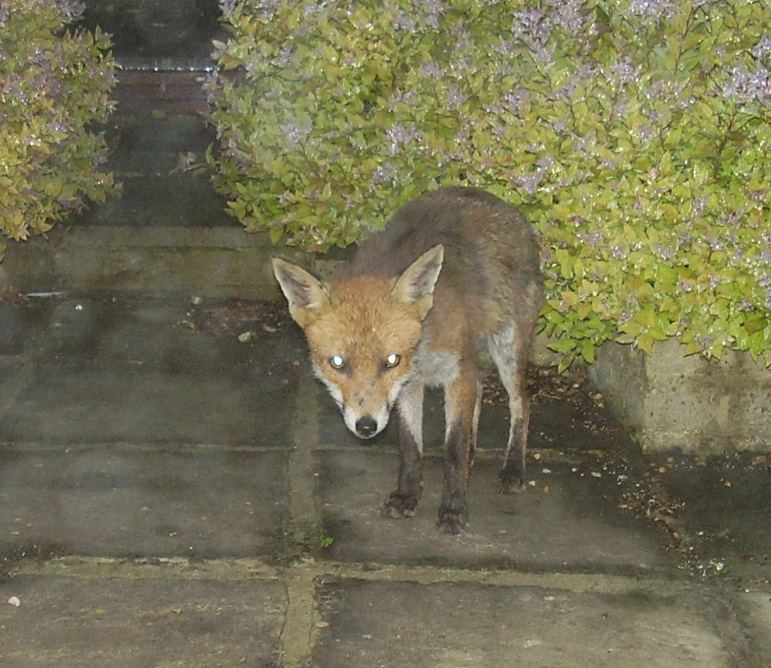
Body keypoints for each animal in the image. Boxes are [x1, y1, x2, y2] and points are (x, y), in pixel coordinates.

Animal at [273, 186, 543, 533]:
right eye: (337, 363)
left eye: (391, 360)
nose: (366, 426)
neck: (421, 356)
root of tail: (497, 201)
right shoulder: (407, 388)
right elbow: (410, 445)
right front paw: (407, 496)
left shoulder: (456, 373)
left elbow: (453, 447)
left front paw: (454, 508)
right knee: (482, 389)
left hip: (507, 348)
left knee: (521, 402)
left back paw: (514, 468)